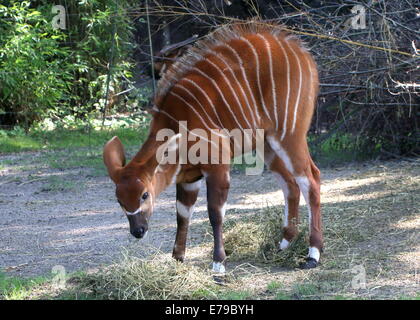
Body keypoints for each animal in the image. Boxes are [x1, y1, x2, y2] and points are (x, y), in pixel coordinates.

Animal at [103, 21, 324, 270]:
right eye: (119, 199)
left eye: (144, 195)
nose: (138, 231)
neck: (177, 122)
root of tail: (302, 52)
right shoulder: (188, 179)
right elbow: (182, 214)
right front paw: (177, 258)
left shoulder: (218, 167)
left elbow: (215, 213)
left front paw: (218, 263)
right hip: (267, 145)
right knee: (290, 184)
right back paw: (284, 243)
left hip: (289, 135)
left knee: (310, 178)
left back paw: (313, 254)